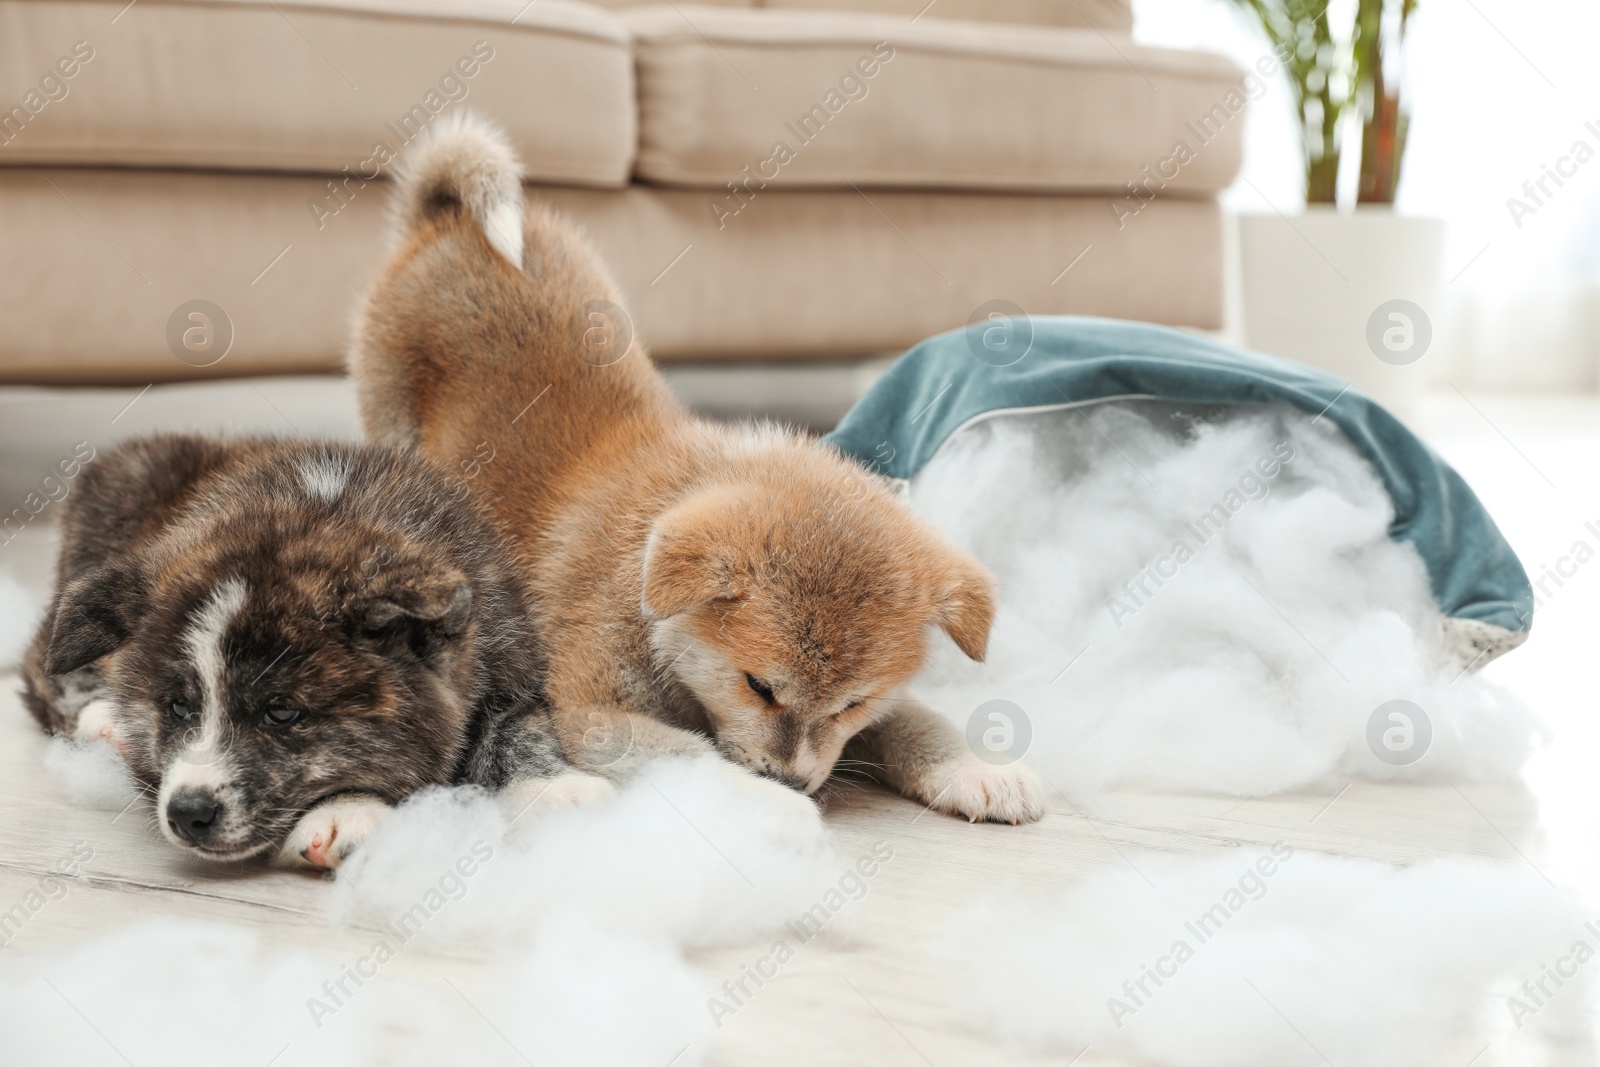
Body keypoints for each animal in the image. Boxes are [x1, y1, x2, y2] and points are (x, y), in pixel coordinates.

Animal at [352, 112, 1049, 825]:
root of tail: (448, 225)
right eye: (759, 686)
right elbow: (695, 755)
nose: (793, 779)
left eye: (853, 702)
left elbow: (916, 719)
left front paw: (973, 765)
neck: (645, 597)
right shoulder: (590, 713)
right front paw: (767, 801)